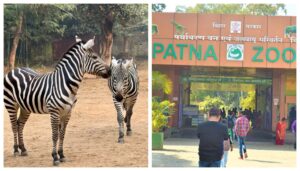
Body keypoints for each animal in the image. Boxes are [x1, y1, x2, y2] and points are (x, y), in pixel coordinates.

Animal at [3, 35, 111, 165]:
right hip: (11, 104)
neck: (66, 84)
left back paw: (23, 149)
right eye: (95, 57)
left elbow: (62, 134)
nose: (110, 71)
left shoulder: (67, 112)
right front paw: (55, 157)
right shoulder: (54, 112)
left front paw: (61, 155)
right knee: (14, 125)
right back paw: (15, 150)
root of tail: (15, 69)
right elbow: (55, 135)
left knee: (20, 124)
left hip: (25, 107)